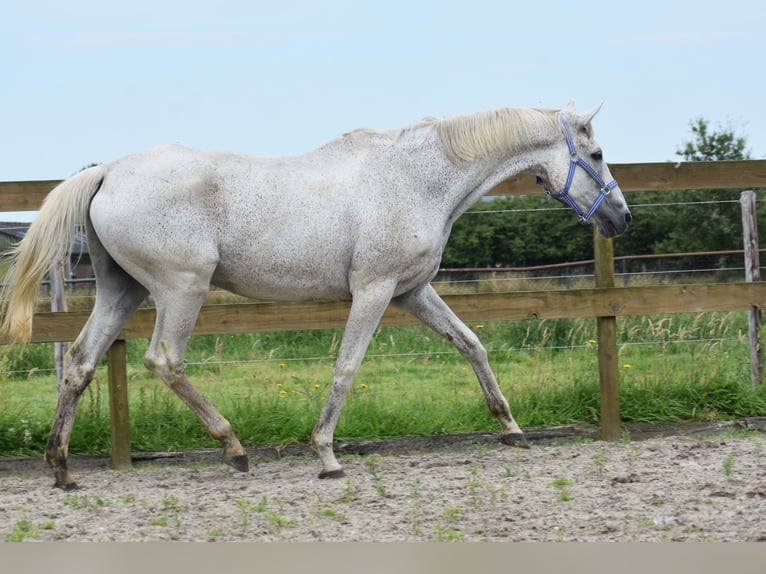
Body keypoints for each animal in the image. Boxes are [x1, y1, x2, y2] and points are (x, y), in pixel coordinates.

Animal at [0, 102, 632, 490]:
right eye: (598, 156)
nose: (621, 219)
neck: (418, 179)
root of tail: (107, 171)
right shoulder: (374, 290)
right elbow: (347, 367)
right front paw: (326, 456)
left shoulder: (413, 291)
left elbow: (471, 344)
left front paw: (511, 429)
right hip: (182, 288)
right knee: (164, 360)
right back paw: (233, 448)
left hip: (121, 290)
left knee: (80, 363)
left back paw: (62, 469)